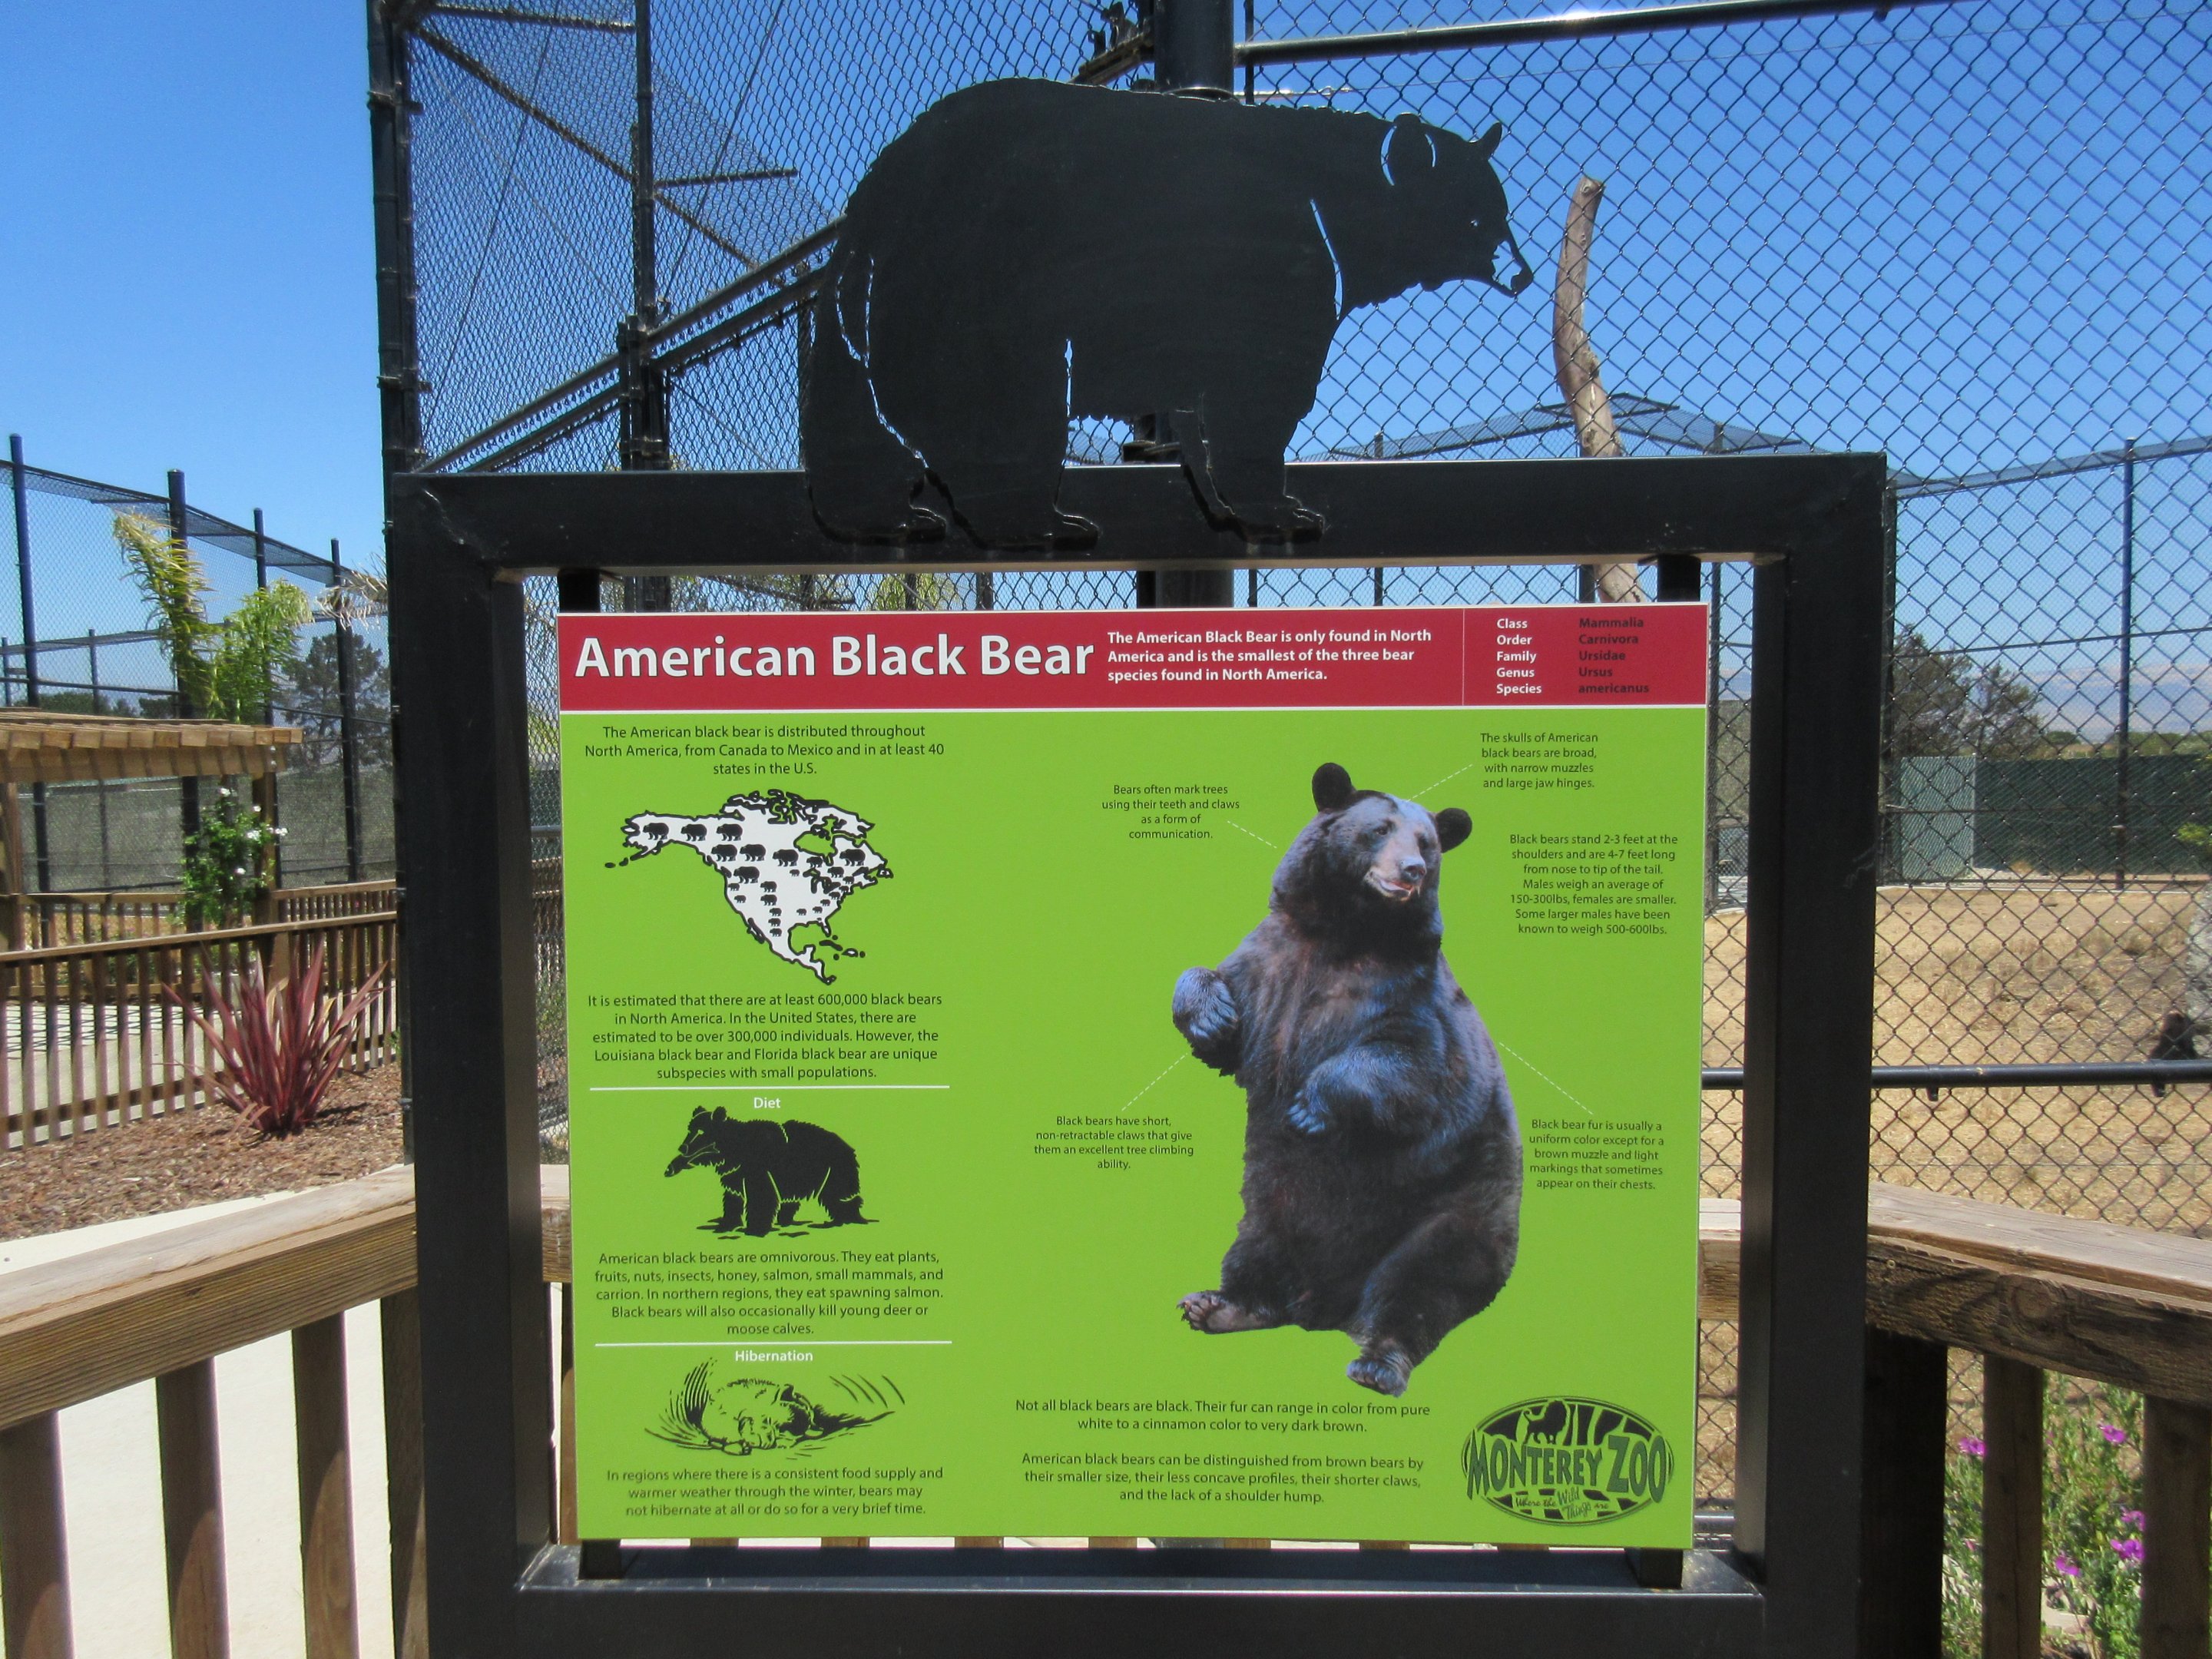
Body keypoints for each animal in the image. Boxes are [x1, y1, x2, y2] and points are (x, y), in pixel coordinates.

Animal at [665, 1108, 869, 1237]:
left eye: (700, 1132)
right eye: (689, 1129)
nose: (682, 1148)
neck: (734, 1151)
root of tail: (848, 1147)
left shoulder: (757, 1168)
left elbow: (761, 1197)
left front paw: (754, 1229)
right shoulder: (734, 1174)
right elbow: (732, 1199)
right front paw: (727, 1224)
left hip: (832, 1170)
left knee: (838, 1196)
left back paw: (843, 1220)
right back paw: (787, 1221)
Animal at [801, 77, 1533, 551]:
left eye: (1502, 212)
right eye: (1477, 218)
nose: (1522, 272)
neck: (1338, 205)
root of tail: (880, 198)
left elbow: (1202, 406)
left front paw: (1226, 497)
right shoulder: (1270, 264)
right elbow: (1261, 395)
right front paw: (1284, 508)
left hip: (859, 302)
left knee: (853, 418)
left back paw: (890, 517)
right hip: (979, 292)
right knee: (1005, 410)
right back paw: (1042, 521)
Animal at [1171, 762, 1520, 1396]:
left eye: (1428, 844)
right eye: (1379, 829)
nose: (1410, 871)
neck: (1344, 931)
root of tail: (1327, 1306)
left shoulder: (1404, 994)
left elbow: (1407, 1065)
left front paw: (1311, 1105)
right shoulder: (1270, 964)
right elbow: (1215, 999)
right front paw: (1209, 1017)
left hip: (1457, 1212)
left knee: (1422, 1283)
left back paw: (1378, 1363)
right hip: (1268, 1210)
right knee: (1259, 1255)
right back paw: (1220, 1305)